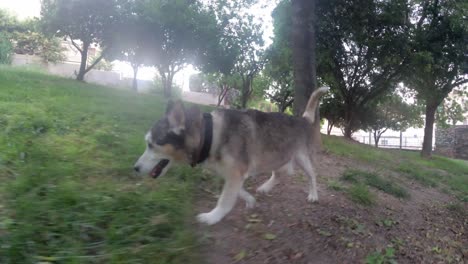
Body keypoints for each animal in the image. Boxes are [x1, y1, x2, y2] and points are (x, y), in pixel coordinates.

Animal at [133, 86, 328, 225]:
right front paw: (250, 200)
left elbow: (225, 200)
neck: (210, 133)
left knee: (312, 176)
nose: (135, 168)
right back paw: (266, 187)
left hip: (301, 158)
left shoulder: (235, 173)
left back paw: (313, 195)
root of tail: (302, 119)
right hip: (275, 157)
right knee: (281, 173)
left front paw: (212, 217)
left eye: (151, 145)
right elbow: (238, 192)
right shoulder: (233, 174)